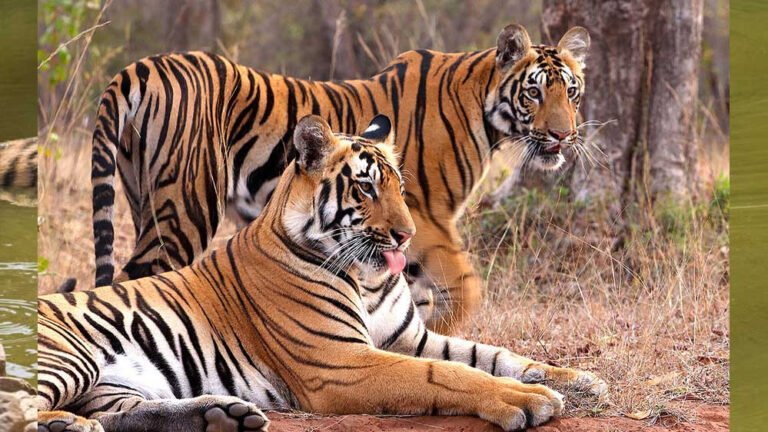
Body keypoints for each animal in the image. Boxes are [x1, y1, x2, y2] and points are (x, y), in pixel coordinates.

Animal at [39, 115, 605, 432]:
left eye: (400, 187)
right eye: (366, 188)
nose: (406, 236)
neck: (368, 277)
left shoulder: (410, 338)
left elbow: (495, 355)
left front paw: (578, 380)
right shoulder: (342, 361)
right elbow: (445, 374)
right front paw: (525, 401)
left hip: (114, 385)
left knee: (118, 414)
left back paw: (219, 416)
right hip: (69, 357)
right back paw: (65, 426)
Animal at [90, 23, 591, 334]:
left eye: (571, 91)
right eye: (534, 92)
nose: (563, 135)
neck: (485, 114)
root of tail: (138, 67)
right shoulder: (426, 219)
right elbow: (466, 289)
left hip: (143, 198)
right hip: (187, 209)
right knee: (138, 281)